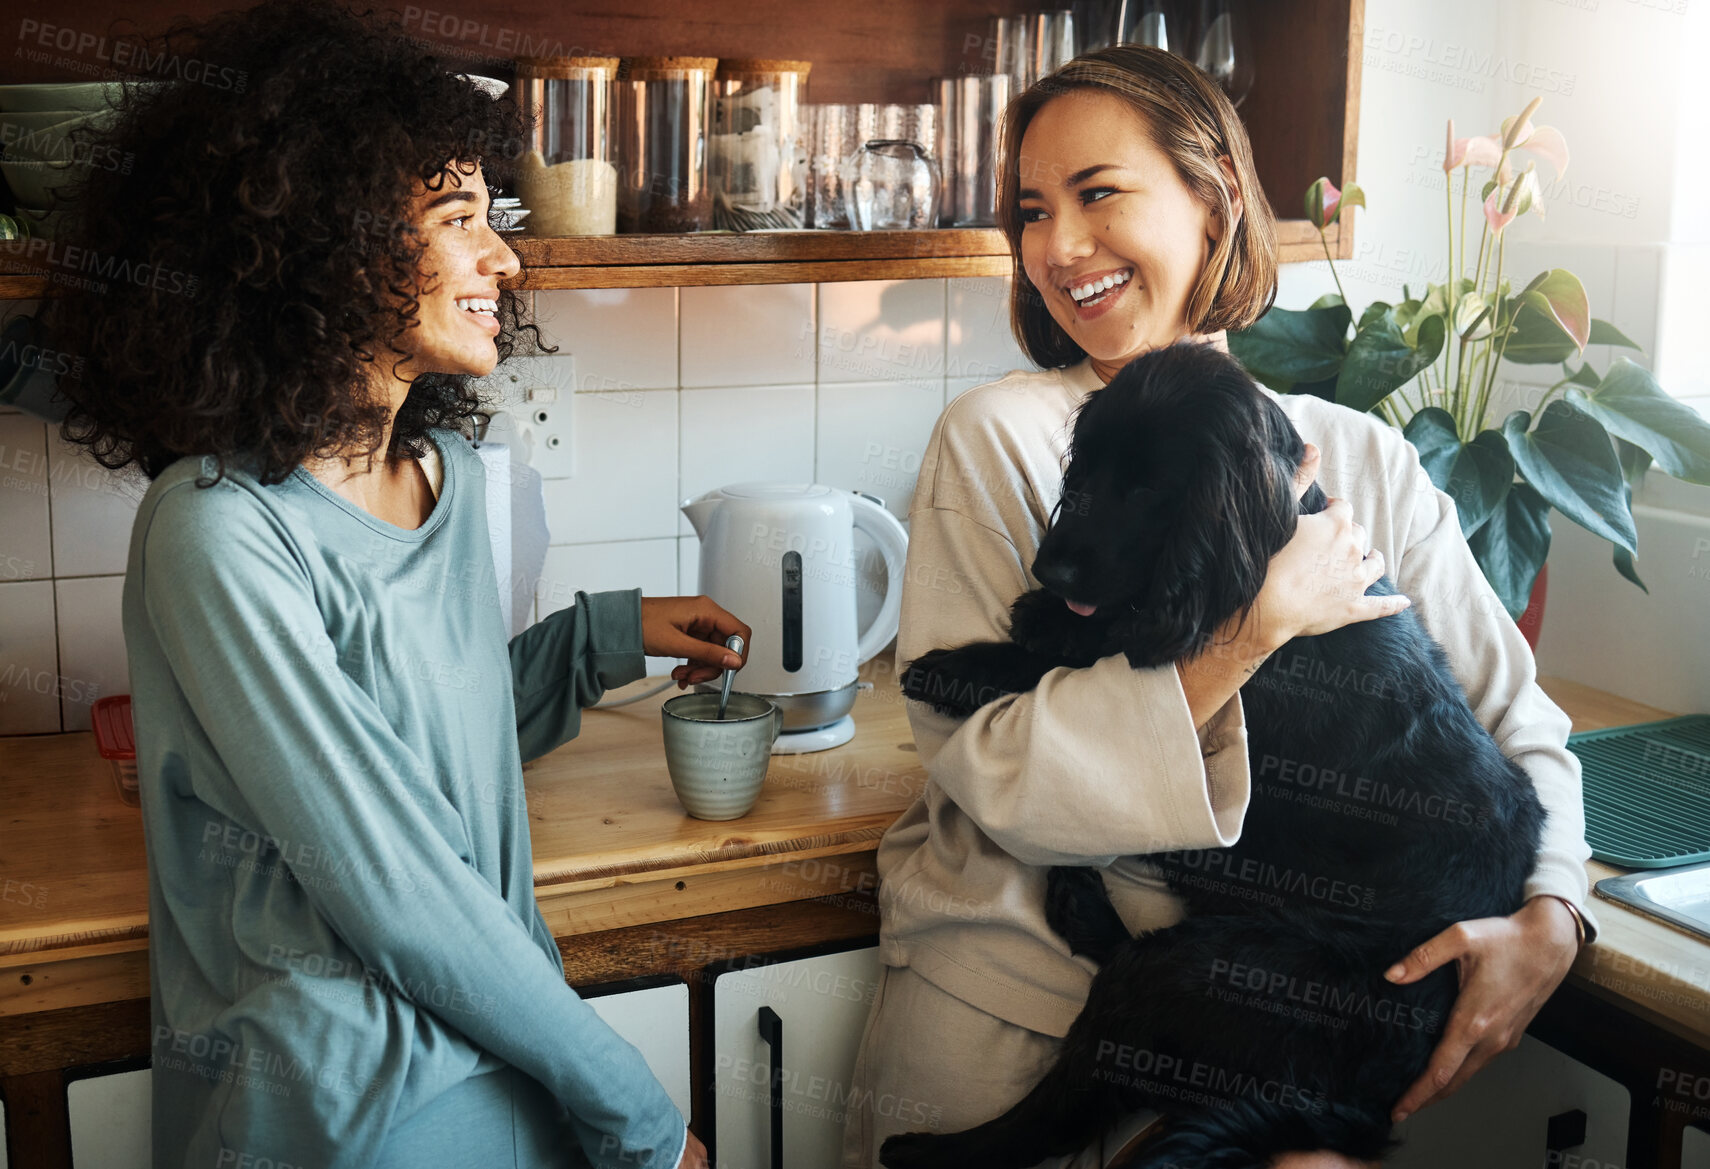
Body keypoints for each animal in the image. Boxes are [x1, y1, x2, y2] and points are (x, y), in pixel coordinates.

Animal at [882, 341, 1552, 1169]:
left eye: (1147, 489)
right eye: (1084, 471)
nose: (1051, 570)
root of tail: (1361, 1103)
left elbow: (1078, 657)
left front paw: (957, 665)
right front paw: (1040, 616)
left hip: (1206, 969)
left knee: (1068, 1096)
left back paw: (922, 1146)